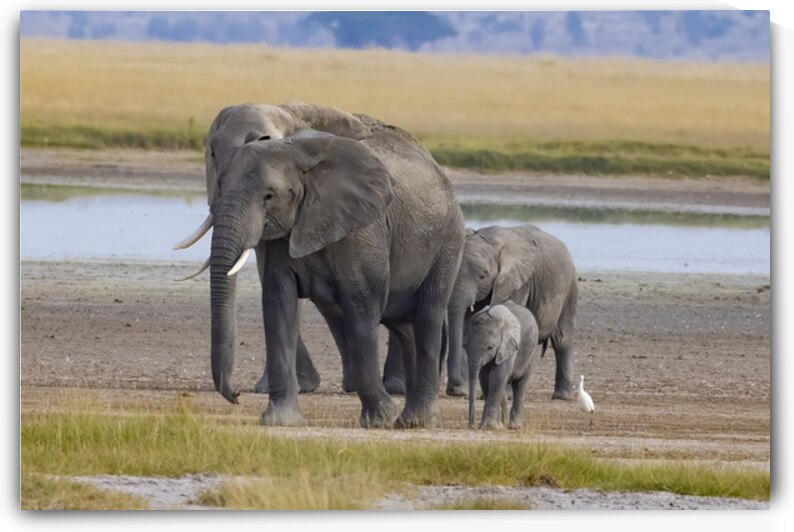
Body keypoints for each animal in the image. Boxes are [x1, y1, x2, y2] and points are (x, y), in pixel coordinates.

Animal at [175, 101, 405, 394]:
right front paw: (288, 386)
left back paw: (394, 386)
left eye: (267, 142)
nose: (235, 393)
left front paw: (288, 386)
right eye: (212, 154)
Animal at [199, 112, 465, 428]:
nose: (236, 395)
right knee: (405, 327)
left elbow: (360, 307)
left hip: (447, 242)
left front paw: (379, 419)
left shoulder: (362, 228)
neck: (296, 154)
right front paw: (280, 420)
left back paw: (417, 421)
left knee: (427, 317)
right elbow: (278, 303)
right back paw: (408, 420)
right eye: (219, 183)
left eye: (269, 196)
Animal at [445, 224, 578, 400]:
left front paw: (503, 394)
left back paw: (562, 396)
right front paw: (462, 392)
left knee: (562, 339)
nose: (454, 389)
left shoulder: (518, 283)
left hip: (569, 288)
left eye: (483, 276)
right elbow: (468, 325)